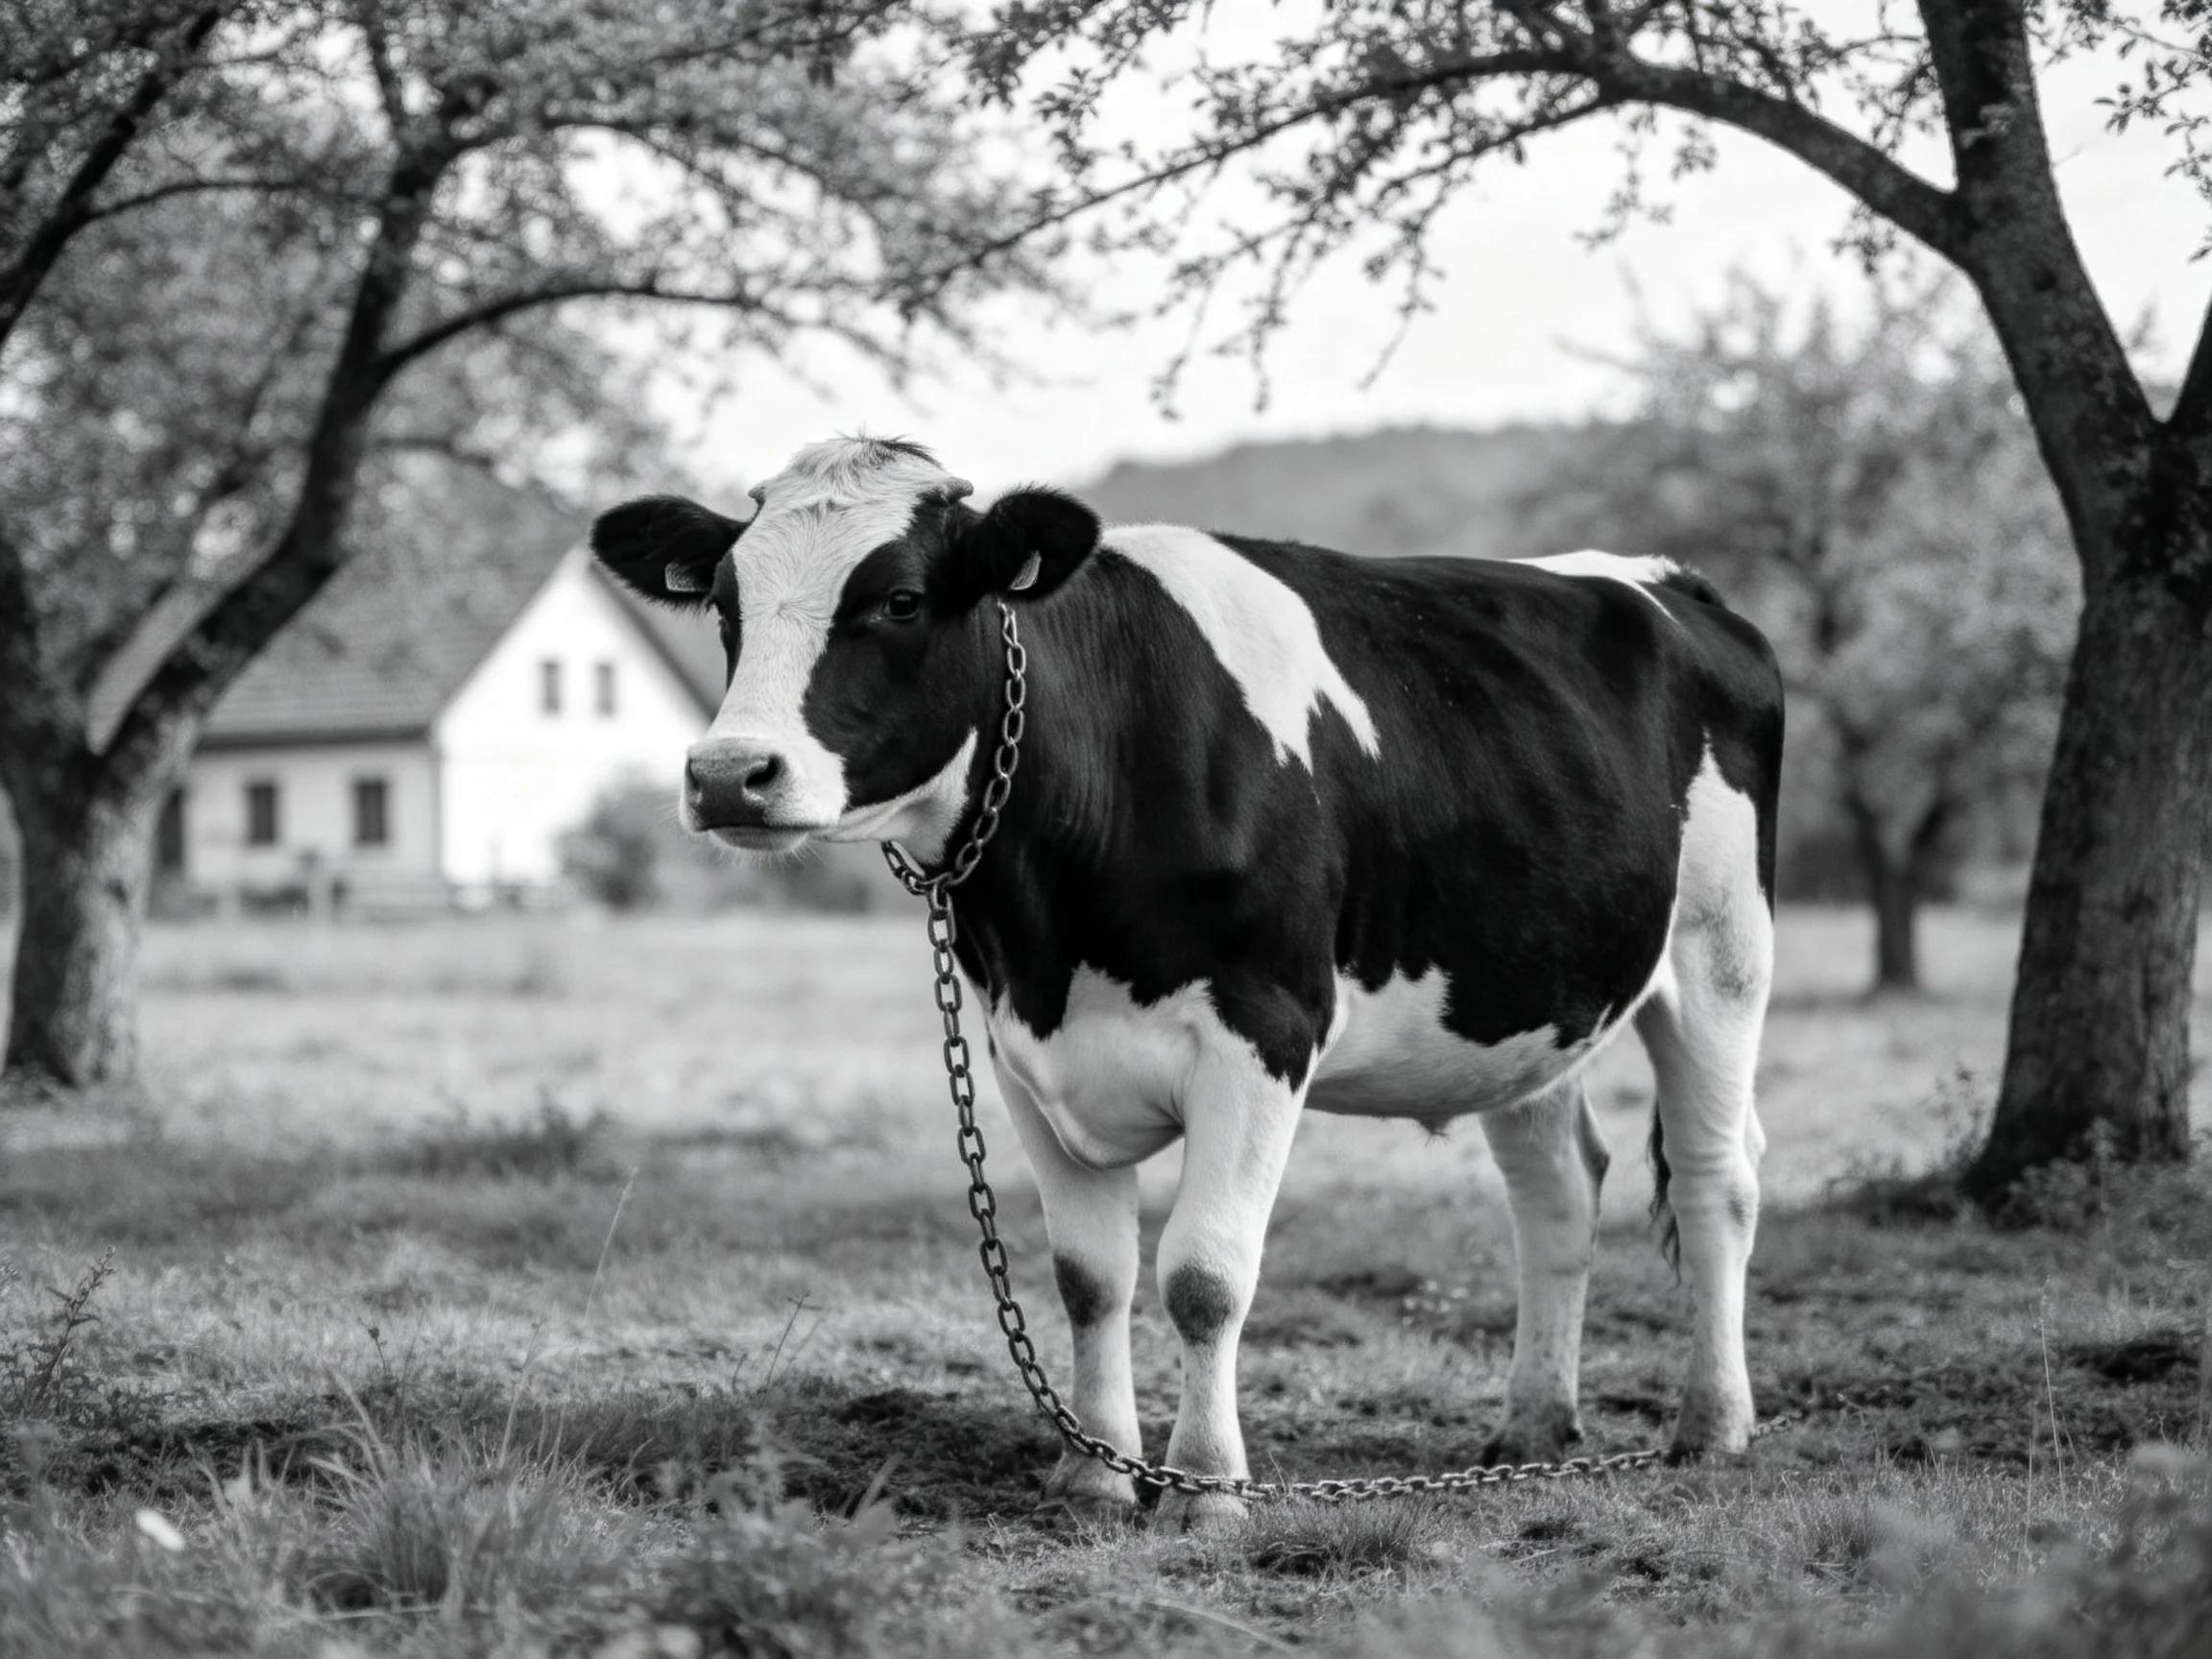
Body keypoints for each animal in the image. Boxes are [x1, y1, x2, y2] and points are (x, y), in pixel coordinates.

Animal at [591, 435, 1784, 1530]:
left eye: (899, 598)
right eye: (726, 605)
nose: (727, 774)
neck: (1053, 919)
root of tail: (1669, 582)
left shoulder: (1265, 1029)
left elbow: (1205, 1275)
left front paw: (1206, 1487)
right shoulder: (1021, 1054)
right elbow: (1090, 1276)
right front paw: (1092, 1474)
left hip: (1723, 951)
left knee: (1718, 1181)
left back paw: (1713, 1429)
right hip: (1523, 997)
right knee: (1558, 1193)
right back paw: (1532, 1427)